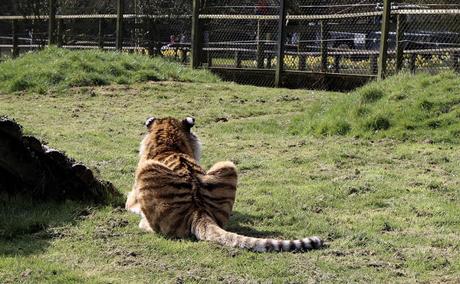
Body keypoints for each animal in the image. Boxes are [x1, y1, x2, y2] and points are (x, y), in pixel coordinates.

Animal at [124, 116, 322, 252]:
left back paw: (143, 224)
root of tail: (199, 211)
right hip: (228, 165)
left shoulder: (133, 196)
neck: (168, 142)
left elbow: (128, 200)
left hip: (147, 170)